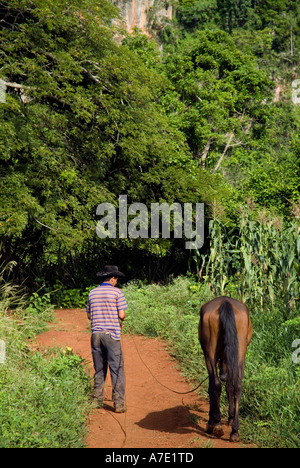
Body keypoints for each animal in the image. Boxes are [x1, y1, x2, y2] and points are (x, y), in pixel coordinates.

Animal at [199, 298, 253, 440]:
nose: (223, 374)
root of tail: (225, 302)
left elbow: (212, 387)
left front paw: (212, 420)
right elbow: (230, 386)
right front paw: (230, 416)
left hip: (210, 354)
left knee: (216, 385)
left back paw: (216, 424)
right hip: (240, 352)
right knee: (237, 386)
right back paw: (235, 430)